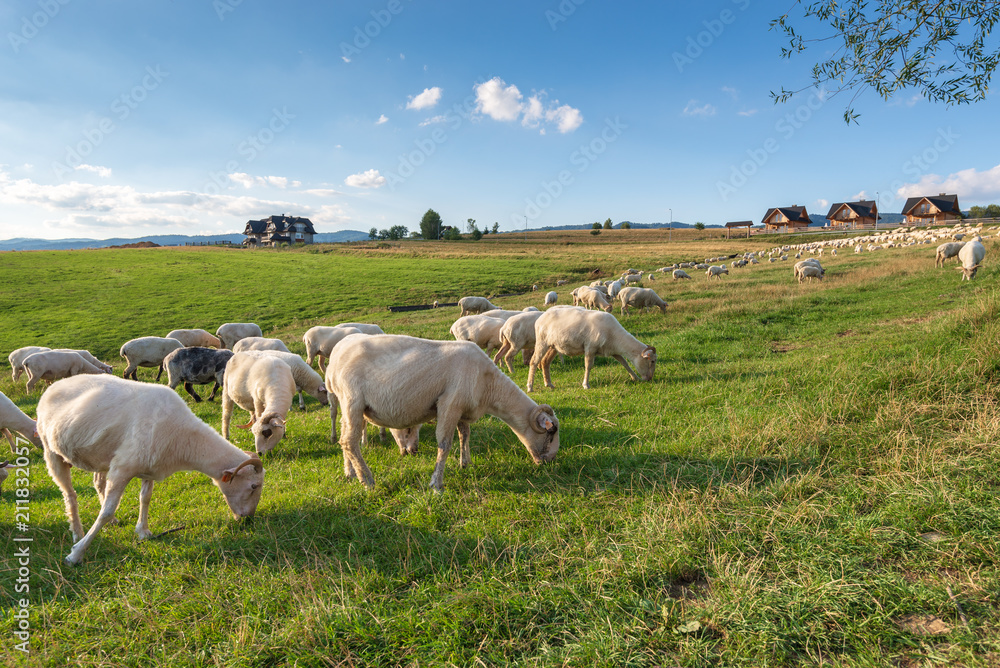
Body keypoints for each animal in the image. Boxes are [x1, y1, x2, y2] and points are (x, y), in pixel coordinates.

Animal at [35, 374, 265, 565]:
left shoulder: (149, 467)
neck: (184, 438)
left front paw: (143, 531)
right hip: (51, 452)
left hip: (100, 456)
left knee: (97, 483)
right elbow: (106, 512)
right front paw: (76, 553)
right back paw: (77, 531)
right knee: (70, 494)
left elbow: (145, 498)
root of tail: (54, 385)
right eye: (254, 486)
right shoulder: (122, 468)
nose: (248, 519)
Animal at [325, 334, 559, 491]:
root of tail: (335, 356)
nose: (549, 462)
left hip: (348, 404)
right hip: (352, 400)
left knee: (345, 438)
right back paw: (367, 480)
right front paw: (436, 484)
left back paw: (350, 473)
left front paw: (465, 463)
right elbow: (445, 444)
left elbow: (465, 435)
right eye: (550, 433)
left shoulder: (462, 409)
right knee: (349, 441)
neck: (489, 384)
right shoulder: (449, 404)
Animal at [527, 308, 657, 391]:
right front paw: (586, 385)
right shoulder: (590, 347)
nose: (650, 379)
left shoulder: (612, 350)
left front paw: (635, 378)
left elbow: (625, 363)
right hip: (541, 342)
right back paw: (530, 387)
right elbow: (588, 366)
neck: (615, 336)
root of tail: (541, 318)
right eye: (652, 361)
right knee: (534, 362)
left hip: (553, 345)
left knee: (545, 362)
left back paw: (549, 384)